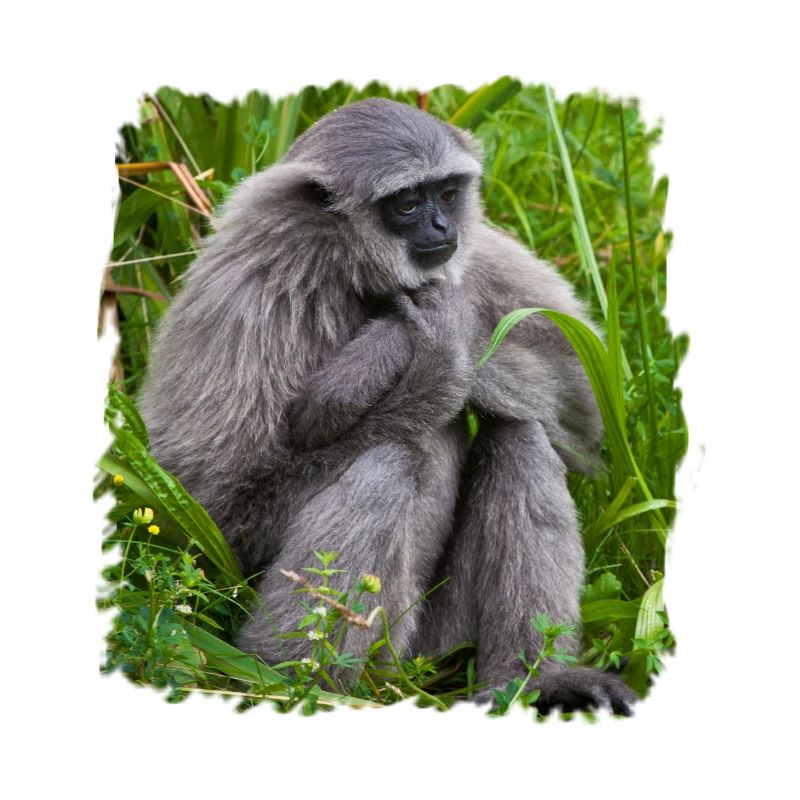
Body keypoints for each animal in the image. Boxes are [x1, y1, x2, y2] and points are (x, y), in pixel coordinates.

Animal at [140, 97, 637, 714]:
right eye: (407, 202)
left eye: (446, 193)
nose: (443, 225)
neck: (348, 271)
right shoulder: (246, 294)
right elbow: (220, 507)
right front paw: (422, 362)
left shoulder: (472, 251)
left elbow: (581, 399)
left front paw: (401, 340)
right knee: (389, 462)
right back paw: (296, 681)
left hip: (439, 639)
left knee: (520, 434)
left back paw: (532, 678)